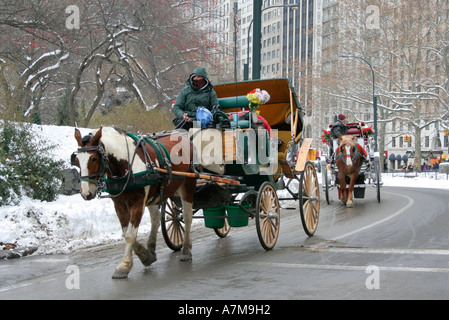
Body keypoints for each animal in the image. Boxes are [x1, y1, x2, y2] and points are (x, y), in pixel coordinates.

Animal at [74, 126, 195, 278]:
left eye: (94, 158)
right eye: (77, 160)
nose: (86, 193)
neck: (126, 164)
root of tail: (182, 136)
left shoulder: (137, 203)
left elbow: (130, 234)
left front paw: (124, 265)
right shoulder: (119, 204)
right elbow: (126, 232)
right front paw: (145, 255)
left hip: (187, 185)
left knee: (187, 216)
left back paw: (186, 250)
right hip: (155, 194)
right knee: (156, 218)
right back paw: (151, 248)